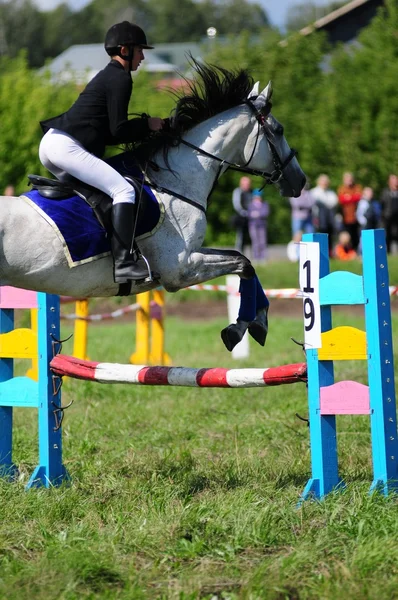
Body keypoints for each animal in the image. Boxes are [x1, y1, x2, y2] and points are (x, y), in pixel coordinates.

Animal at [0, 61, 304, 352]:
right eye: (279, 130)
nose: (300, 181)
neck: (174, 181)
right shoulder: (179, 269)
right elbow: (244, 264)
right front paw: (240, 327)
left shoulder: (189, 256)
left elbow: (243, 261)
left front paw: (257, 323)